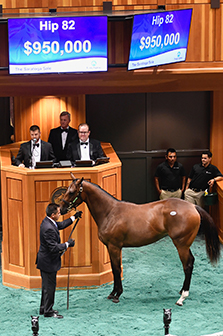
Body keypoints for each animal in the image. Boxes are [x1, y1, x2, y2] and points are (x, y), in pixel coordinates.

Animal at [60, 175, 220, 306]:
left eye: (72, 192)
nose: (61, 209)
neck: (110, 212)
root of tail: (193, 206)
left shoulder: (115, 246)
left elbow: (117, 269)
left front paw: (117, 295)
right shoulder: (110, 247)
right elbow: (113, 269)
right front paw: (112, 293)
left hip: (181, 245)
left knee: (187, 265)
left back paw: (182, 297)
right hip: (185, 245)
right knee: (190, 263)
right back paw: (182, 291)